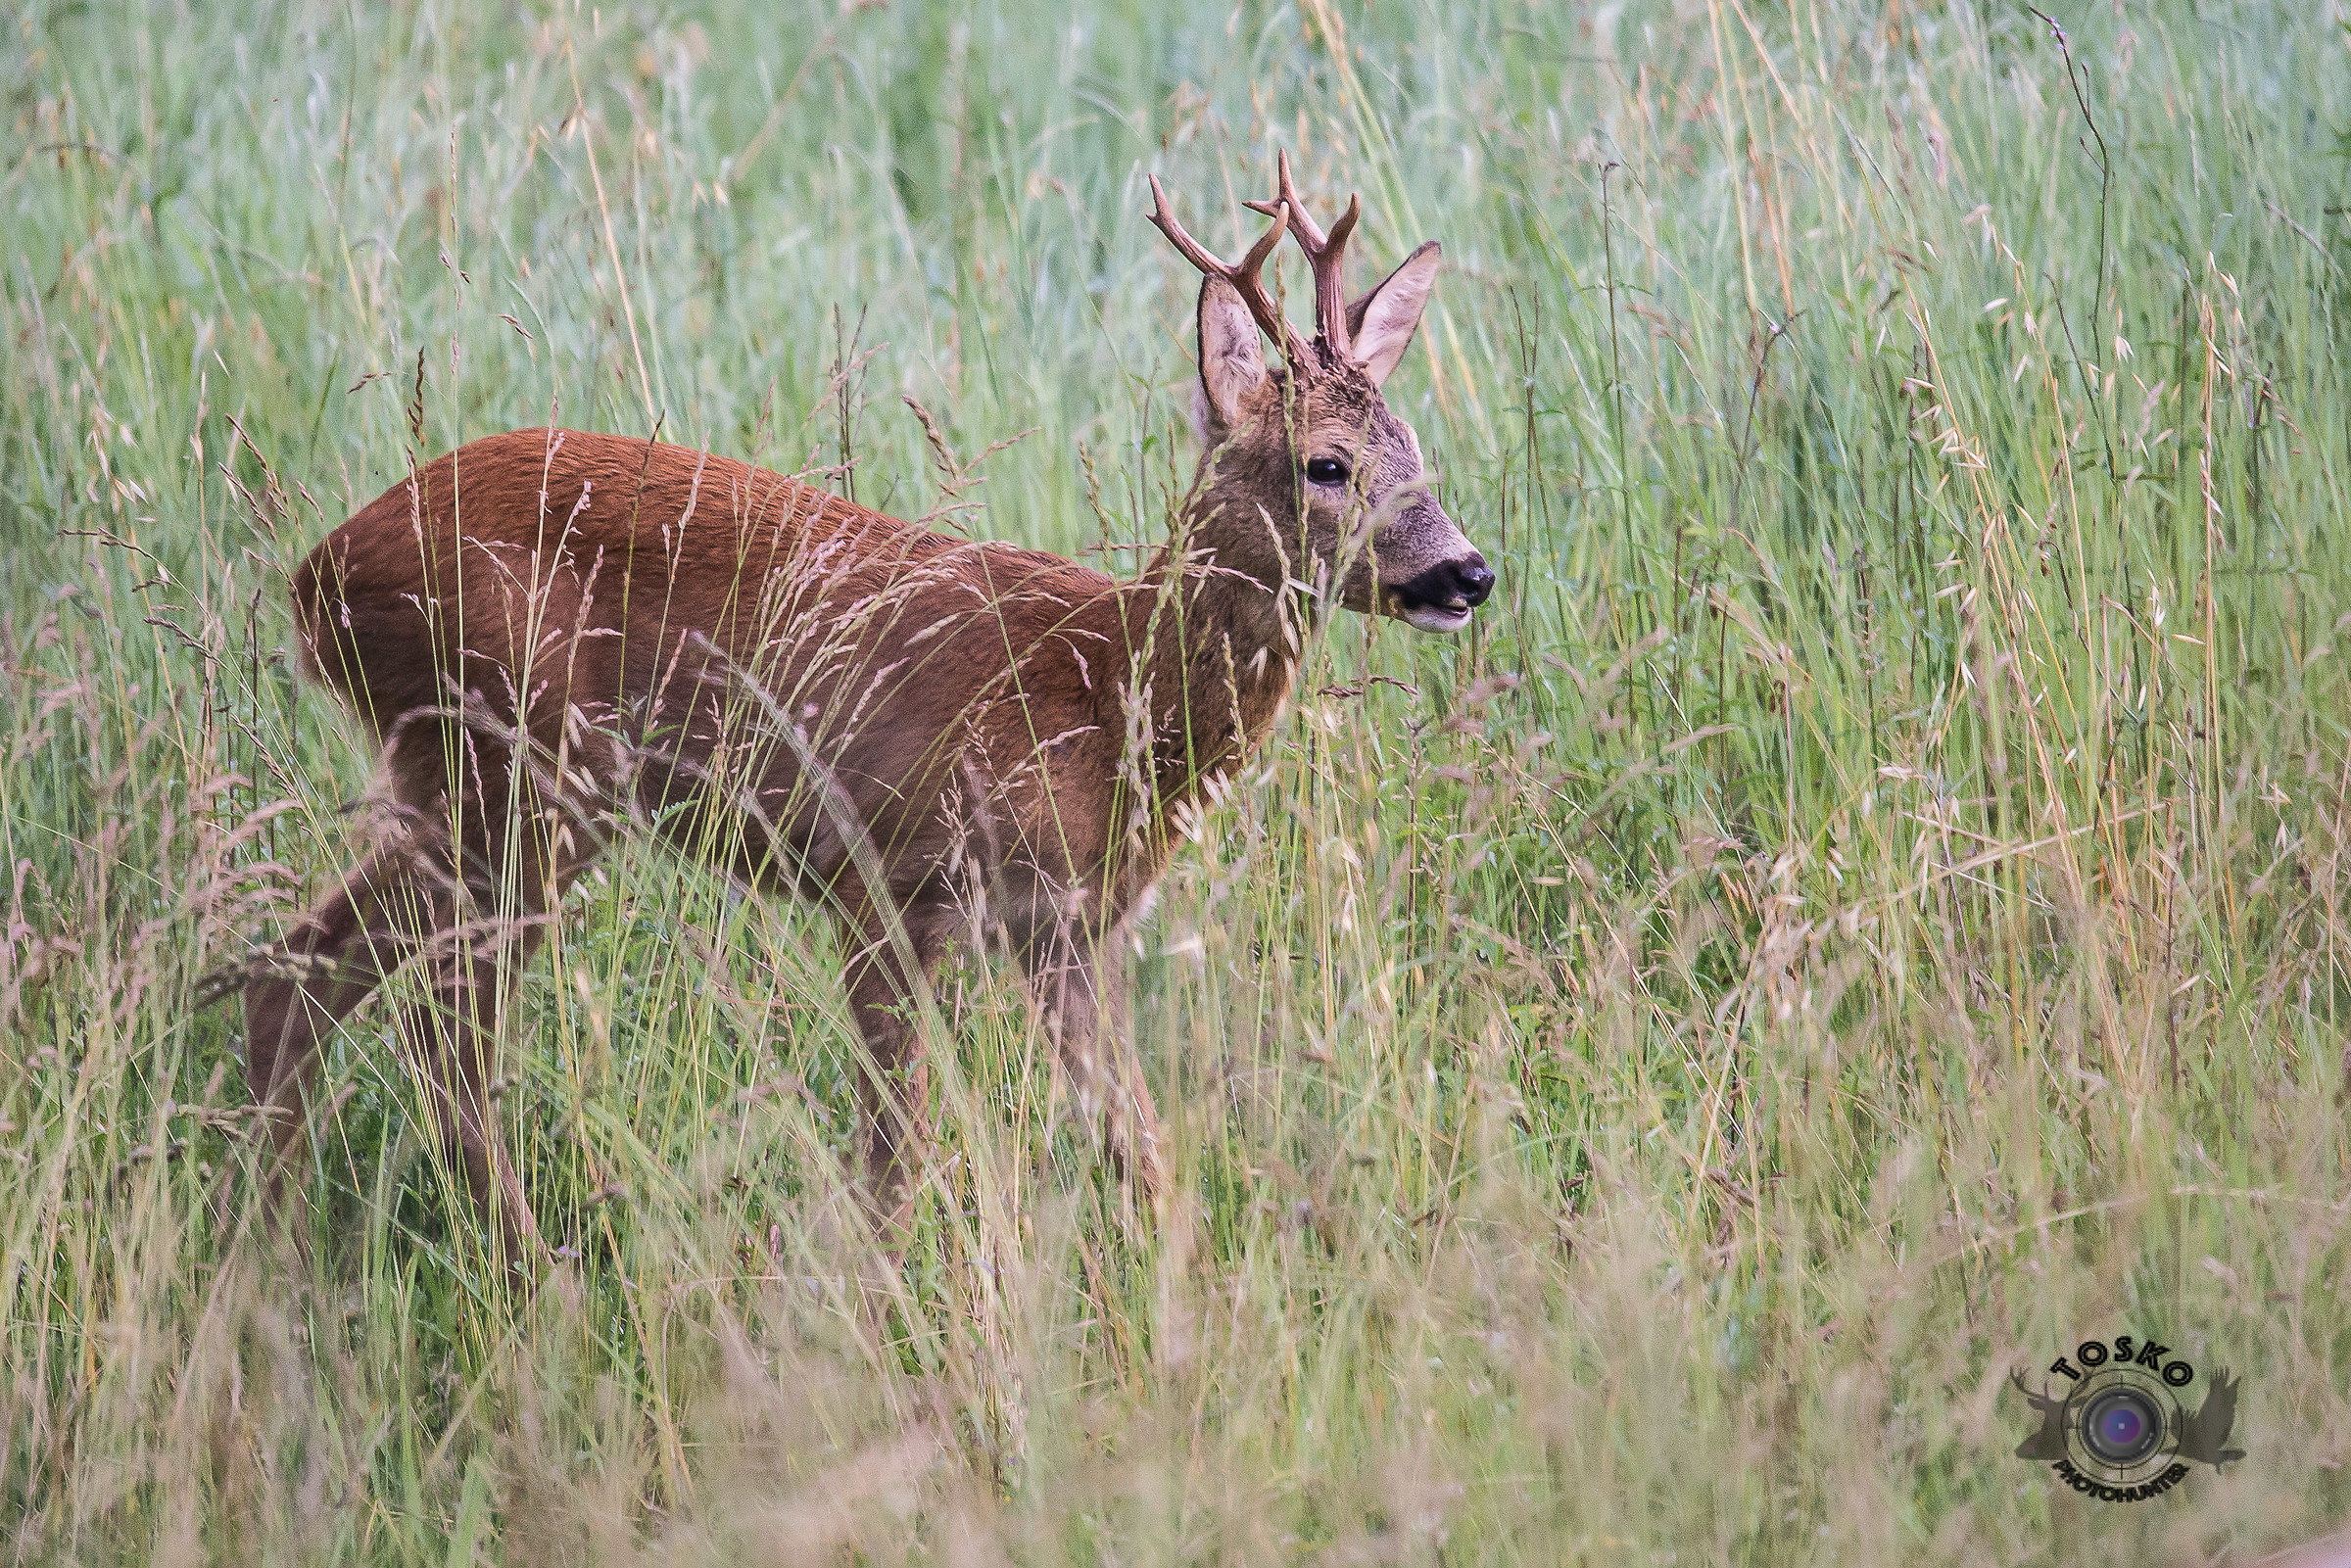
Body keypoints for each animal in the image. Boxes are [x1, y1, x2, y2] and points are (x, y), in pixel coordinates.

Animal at [239, 153, 1493, 1267]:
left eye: (1416, 450)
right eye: (1327, 464)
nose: (1468, 571)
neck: (1104, 691)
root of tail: (313, 577)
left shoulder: (1069, 927)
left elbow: (1136, 1148)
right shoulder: (897, 877)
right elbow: (896, 1160)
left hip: (477, 787)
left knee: (305, 973)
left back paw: (279, 1249)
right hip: (511, 768)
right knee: (431, 1017)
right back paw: (511, 1265)